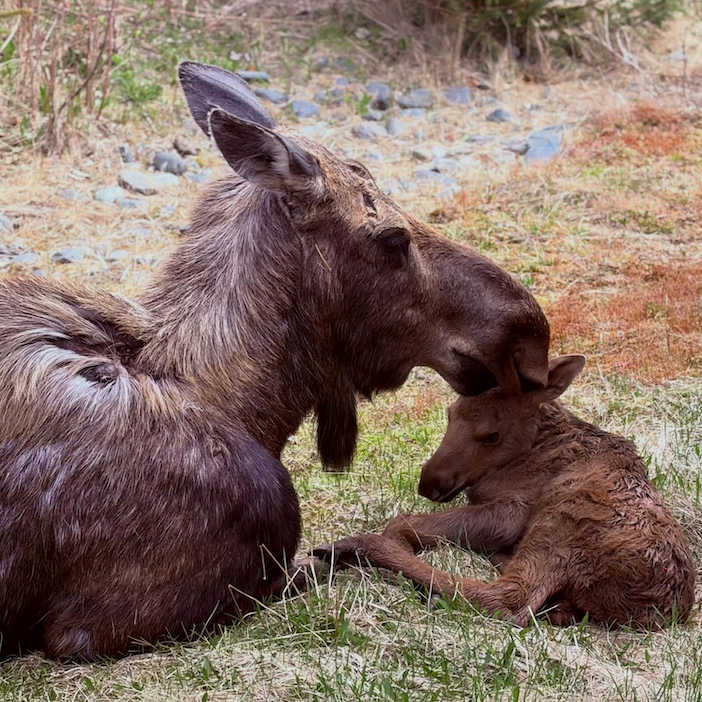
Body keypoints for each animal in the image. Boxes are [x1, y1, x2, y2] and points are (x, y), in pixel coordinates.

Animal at [316, 355, 695, 629]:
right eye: (450, 412)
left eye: (491, 435)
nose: (429, 483)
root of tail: (656, 609)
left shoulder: (514, 509)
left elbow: (403, 522)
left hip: (562, 522)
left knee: (511, 600)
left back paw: (356, 548)